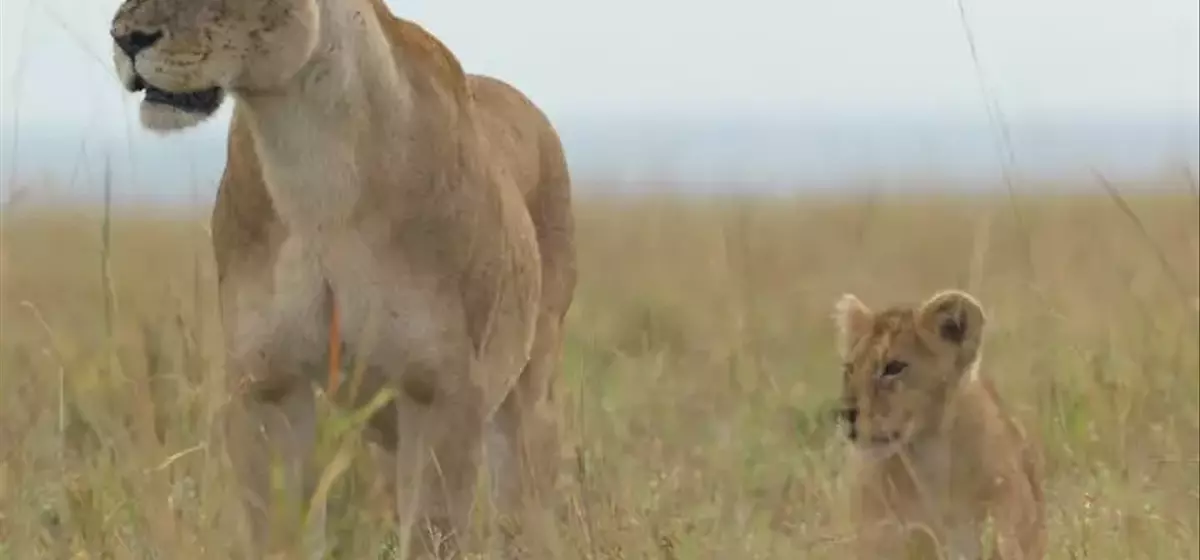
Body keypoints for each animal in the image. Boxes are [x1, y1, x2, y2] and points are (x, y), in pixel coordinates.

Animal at [109, 0, 576, 557]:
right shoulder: (267, 383)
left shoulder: (443, 392)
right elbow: (281, 531)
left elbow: (433, 532)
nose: (125, 39)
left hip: (529, 391)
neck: (309, 156)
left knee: (524, 501)